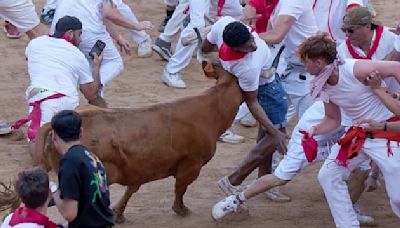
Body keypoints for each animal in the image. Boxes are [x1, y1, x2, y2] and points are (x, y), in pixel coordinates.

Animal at [34, 64, 242, 223]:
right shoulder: (191, 165)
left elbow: (132, 189)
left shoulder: (140, 168)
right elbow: (180, 189)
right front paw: (181, 210)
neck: (211, 110)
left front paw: (118, 214)